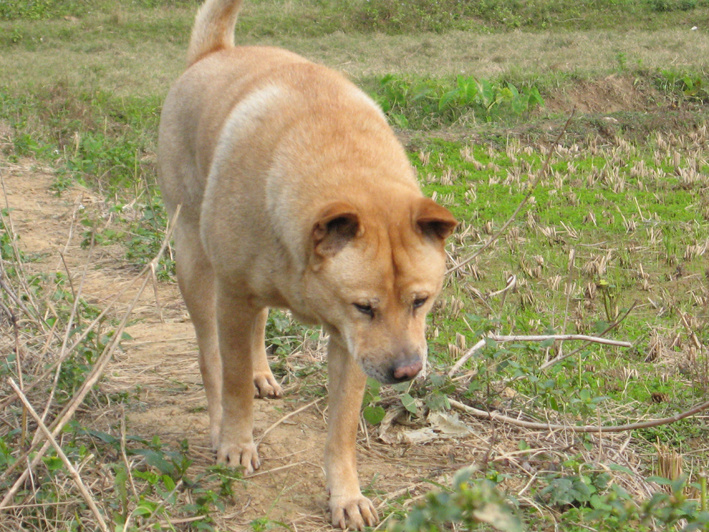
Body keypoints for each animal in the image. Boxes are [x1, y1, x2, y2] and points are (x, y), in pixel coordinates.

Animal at [158, 0, 456, 524]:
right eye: (365, 306)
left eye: (421, 301)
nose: (406, 373)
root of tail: (212, 54)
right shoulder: (235, 296)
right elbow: (233, 383)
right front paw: (236, 443)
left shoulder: (350, 345)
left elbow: (342, 428)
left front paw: (346, 495)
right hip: (195, 262)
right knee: (211, 356)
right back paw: (218, 421)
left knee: (258, 327)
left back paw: (262, 373)